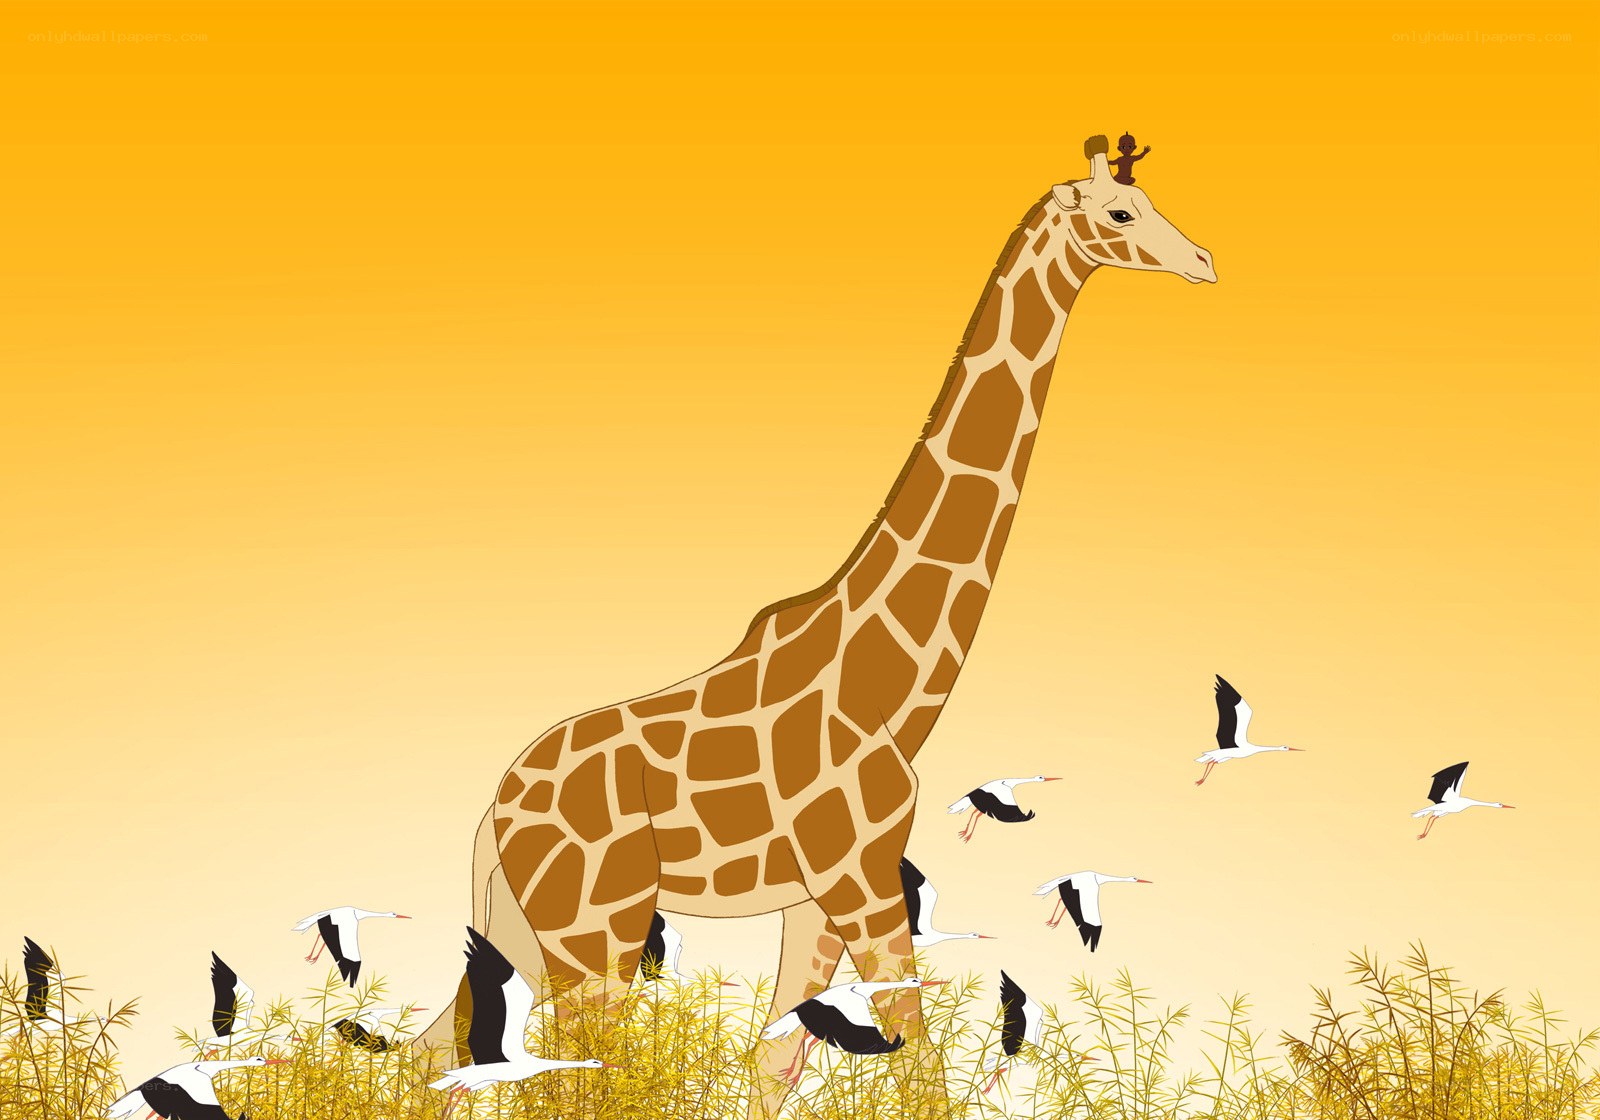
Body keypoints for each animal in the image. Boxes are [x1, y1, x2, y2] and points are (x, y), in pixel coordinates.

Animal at [415, 135, 1215, 1116]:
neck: (888, 677)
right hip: (594, 929)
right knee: (569, 1073)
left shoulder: (814, 897)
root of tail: (493, 812)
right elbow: (917, 1062)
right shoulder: (860, 875)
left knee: (450, 1058)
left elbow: (777, 1065)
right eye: (1120, 214)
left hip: (525, 930)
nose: (1204, 261)